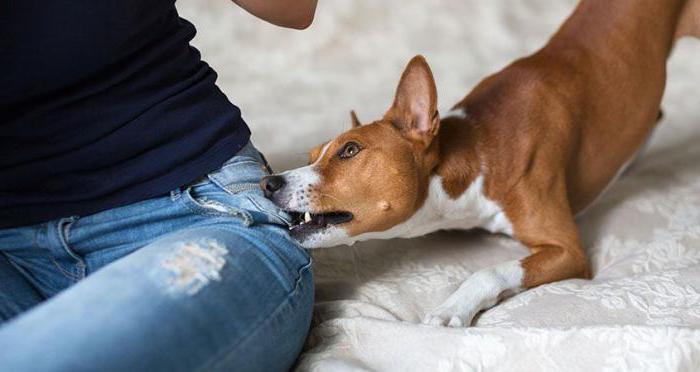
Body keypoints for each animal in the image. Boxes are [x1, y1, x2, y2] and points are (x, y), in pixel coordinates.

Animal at [260, 0, 696, 326]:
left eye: (350, 150)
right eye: (313, 155)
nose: (268, 183)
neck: (481, 151)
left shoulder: (568, 249)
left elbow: (491, 270)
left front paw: (451, 309)